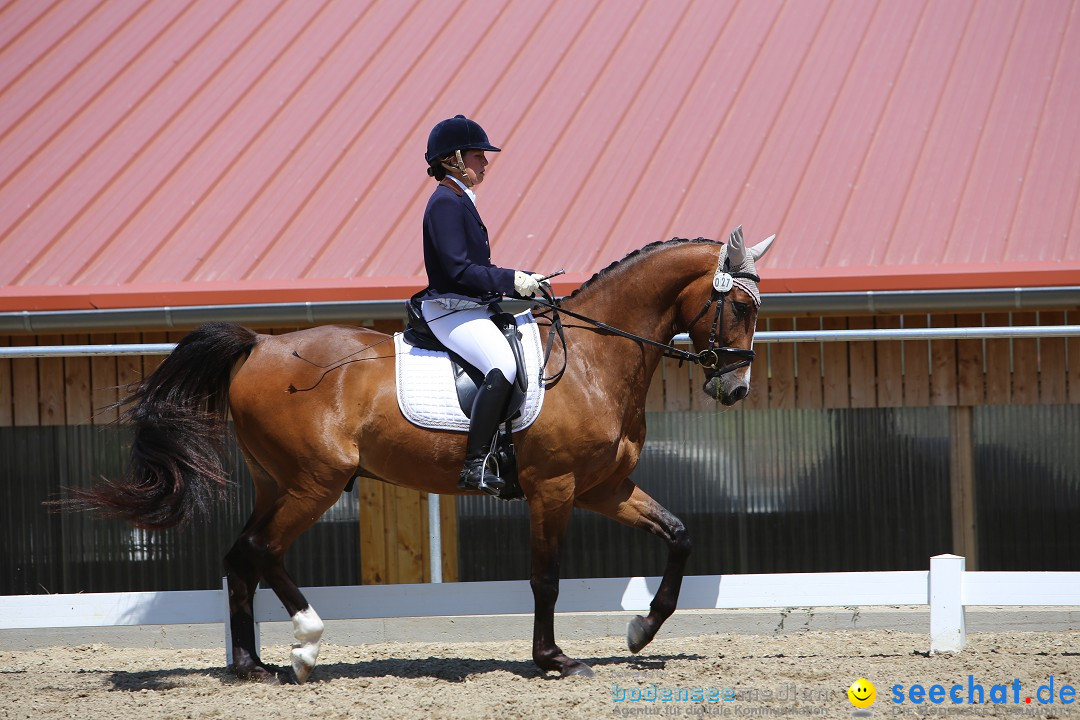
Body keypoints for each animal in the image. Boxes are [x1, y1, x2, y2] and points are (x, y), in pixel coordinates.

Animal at [69, 227, 777, 686]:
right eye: (740, 305)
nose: (735, 388)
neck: (594, 360)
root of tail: (259, 345)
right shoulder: (554, 487)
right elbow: (545, 577)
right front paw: (552, 659)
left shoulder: (603, 487)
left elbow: (679, 535)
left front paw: (641, 630)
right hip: (316, 481)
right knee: (263, 551)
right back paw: (305, 647)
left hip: (277, 481)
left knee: (240, 557)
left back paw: (250, 665)